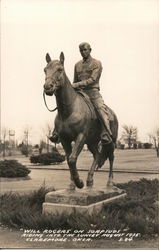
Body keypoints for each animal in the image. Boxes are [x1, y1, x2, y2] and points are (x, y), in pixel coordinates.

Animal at [43, 52, 118, 189]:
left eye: (60, 69)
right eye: (45, 70)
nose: (48, 87)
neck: (69, 111)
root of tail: (113, 114)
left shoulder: (81, 136)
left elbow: (72, 158)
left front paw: (79, 182)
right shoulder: (65, 140)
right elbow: (69, 160)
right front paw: (72, 184)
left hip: (111, 141)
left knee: (111, 157)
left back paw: (109, 182)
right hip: (92, 142)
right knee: (97, 155)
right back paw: (90, 180)